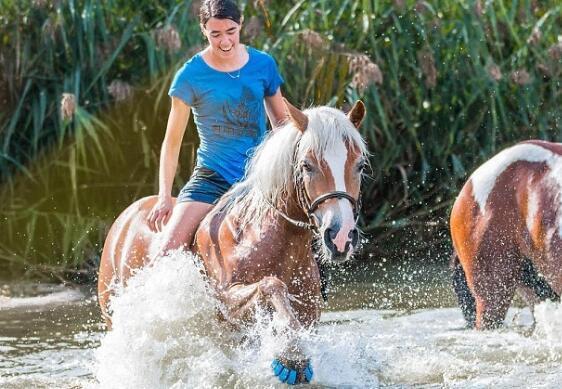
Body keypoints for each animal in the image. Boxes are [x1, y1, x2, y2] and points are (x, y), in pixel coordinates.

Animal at [96, 99, 368, 382]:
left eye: (360, 165)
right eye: (307, 165)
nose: (340, 235)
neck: (262, 237)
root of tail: (124, 218)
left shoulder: (308, 310)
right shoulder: (225, 302)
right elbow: (272, 285)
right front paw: (292, 357)